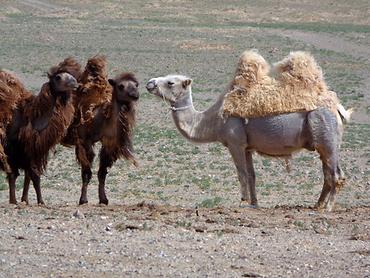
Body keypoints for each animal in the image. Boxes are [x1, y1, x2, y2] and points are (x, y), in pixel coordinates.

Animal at [62, 56, 139, 204]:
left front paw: (103, 199)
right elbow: (86, 173)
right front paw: (83, 200)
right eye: (121, 86)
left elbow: (102, 173)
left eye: (136, 84)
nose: (135, 95)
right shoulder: (84, 141)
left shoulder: (108, 144)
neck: (102, 118)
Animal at [146, 74, 352, 211]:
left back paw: (328, 208)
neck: (213, 120)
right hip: (327, 144)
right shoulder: (247, 147)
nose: (149, 83)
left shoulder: (235, 143)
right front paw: (254, 203)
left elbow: (241, 173)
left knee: (335, 175)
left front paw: (243, 201)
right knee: (329, 172)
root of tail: (338, 109)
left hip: (326, 135)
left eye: (170, 82)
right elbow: (252, 175)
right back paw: (317, 205)